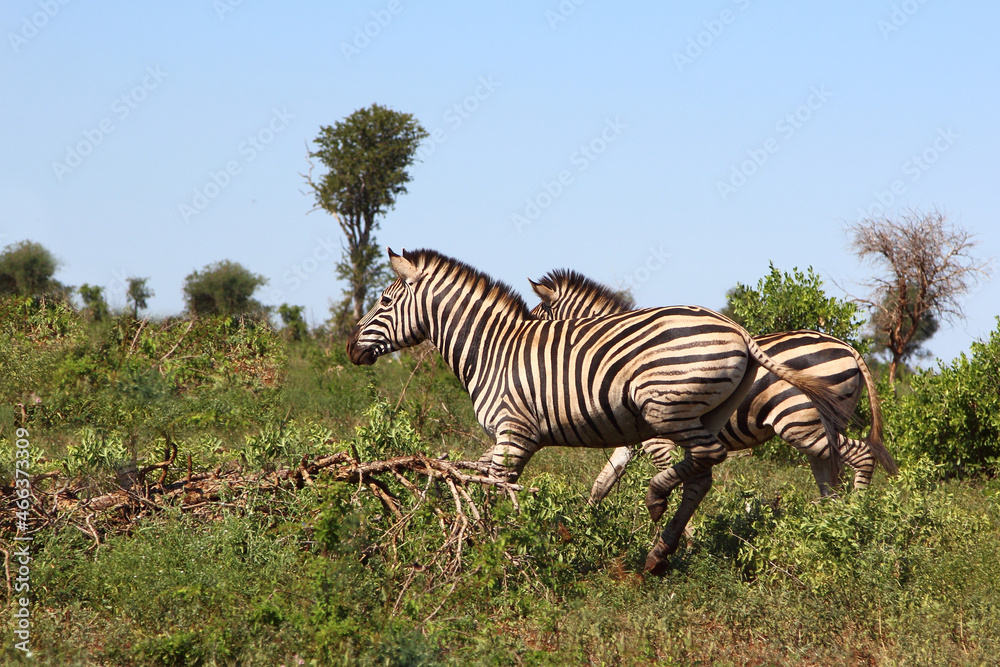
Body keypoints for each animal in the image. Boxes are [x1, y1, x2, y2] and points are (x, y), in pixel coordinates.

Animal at [347, 248, 850, 574]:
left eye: (384, 301)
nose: (350, 349)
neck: (493, 351)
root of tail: (738, 332)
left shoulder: (516, 435)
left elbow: (494, 491)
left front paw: (493, 548)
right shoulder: (522, 439)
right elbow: (478, 478)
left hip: (688, 414)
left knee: (726, 461)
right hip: (712, 418)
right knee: (710, 473)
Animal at [528, 268, 899, 505]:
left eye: (537, 320)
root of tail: (848, 347)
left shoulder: (658, 439)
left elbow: (668, 477)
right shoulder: (631, 437)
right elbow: (602, 483)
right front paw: (587, 526)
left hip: (801, 422)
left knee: (858, 457)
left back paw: (855, 520)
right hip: (822, 424)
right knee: (832, 474)